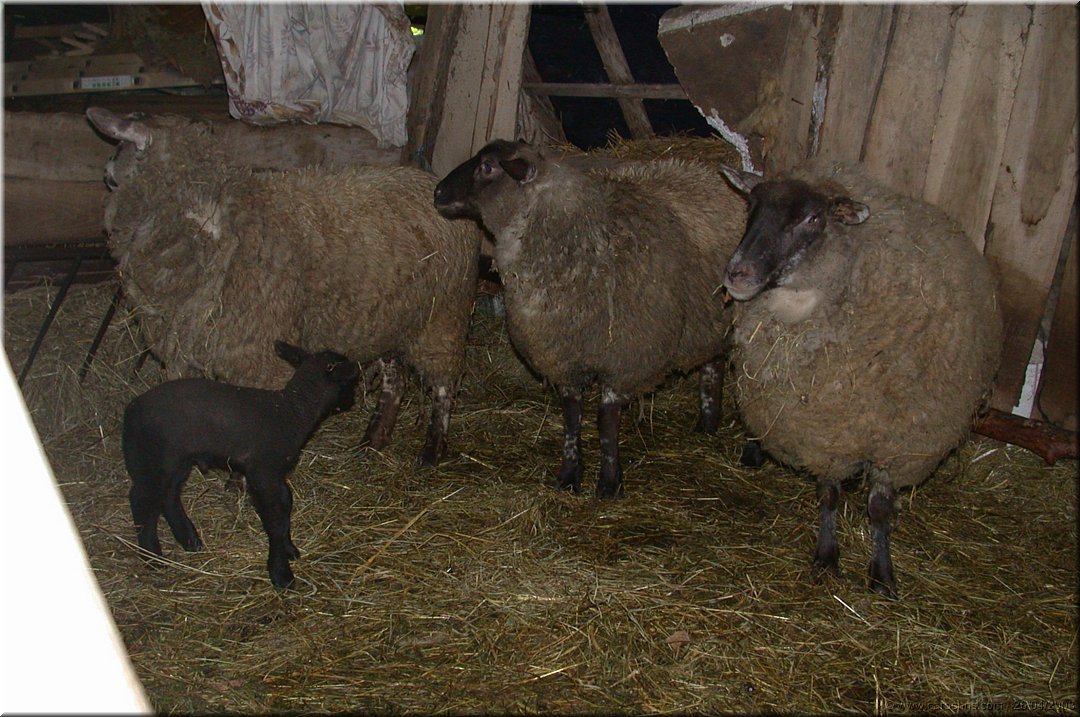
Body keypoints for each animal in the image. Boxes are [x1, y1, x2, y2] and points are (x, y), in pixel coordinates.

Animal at [85, 107, 482, 465]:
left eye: (119, 150)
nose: (105, 170)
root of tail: (431, 184)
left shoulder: (261, 356)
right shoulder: (190, 348)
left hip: (442, 319)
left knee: (443, 386)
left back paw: (432, 450)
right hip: (391, 320)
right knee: (394, 380)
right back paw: (373, 440)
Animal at [123, 340, 360, 588]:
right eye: (348, 382)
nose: (352, 402)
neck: (292, 411)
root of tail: (130, 410)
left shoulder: (276, 474)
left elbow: (285, 507)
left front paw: (289, 549)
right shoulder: (263, 472)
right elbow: (276, 519)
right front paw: (281, 573)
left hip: (176, 462)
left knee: (168, 496)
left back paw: (189, 540)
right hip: (151, 461)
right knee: (142, 501)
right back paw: (153, 557)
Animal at [434, 139, 746, 497]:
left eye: (487, 167)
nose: (438, 192)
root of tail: (706, 172)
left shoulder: (625, 360)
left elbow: (605, 420)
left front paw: (609, 483)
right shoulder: (563, 356)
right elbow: (572, 416)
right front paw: (569, 475)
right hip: (709, 321)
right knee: (713, 363)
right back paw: (707, 423)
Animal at [718, 157, 1003, 599]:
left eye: (812, 218)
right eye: (751, 207)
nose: (737, 275)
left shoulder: (896, 441)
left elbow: (880, 509)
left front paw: (882, 573)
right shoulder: (827, 434)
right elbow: (828, 495)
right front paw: (826, 556)